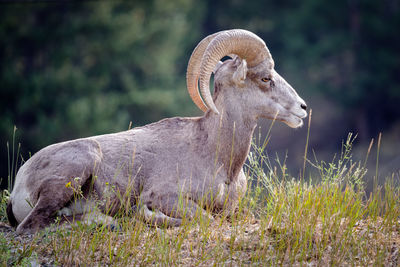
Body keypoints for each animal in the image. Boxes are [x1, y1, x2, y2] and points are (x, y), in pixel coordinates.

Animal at [5, 29, 306, 234]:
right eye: (266, 78)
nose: (302, 108)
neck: (218, 159)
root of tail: (20, 182)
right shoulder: (165, 197)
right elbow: (205, 218)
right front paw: (147, 216)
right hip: (78, 164)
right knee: (31, 226)